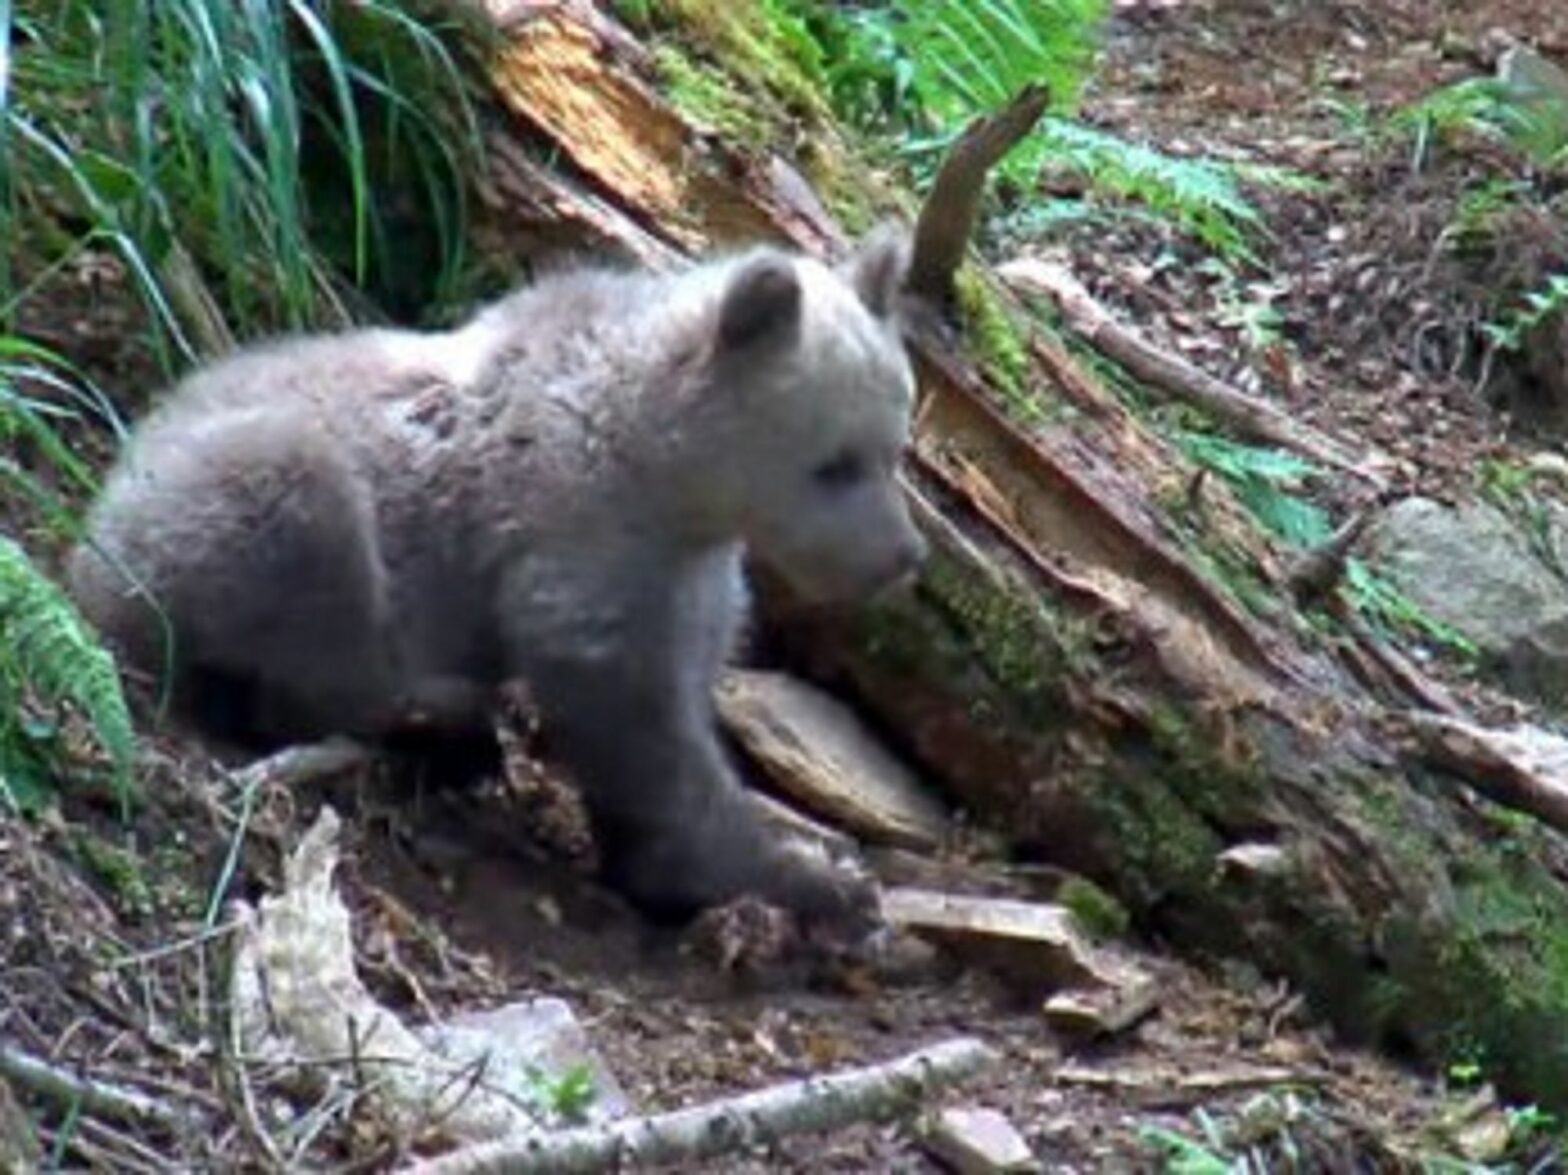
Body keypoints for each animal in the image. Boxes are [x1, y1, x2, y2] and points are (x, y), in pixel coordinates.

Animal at [66, 226, 928, 930]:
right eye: (834, 463)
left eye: (896, 446)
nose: (903, 555)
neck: (674, 477)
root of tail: (99, 503)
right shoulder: (581, 546)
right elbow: (639, 724)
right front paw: (804, 876)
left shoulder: (692, 578)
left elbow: (682, 689)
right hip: (232, 498)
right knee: (310, 573)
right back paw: (427, 713)